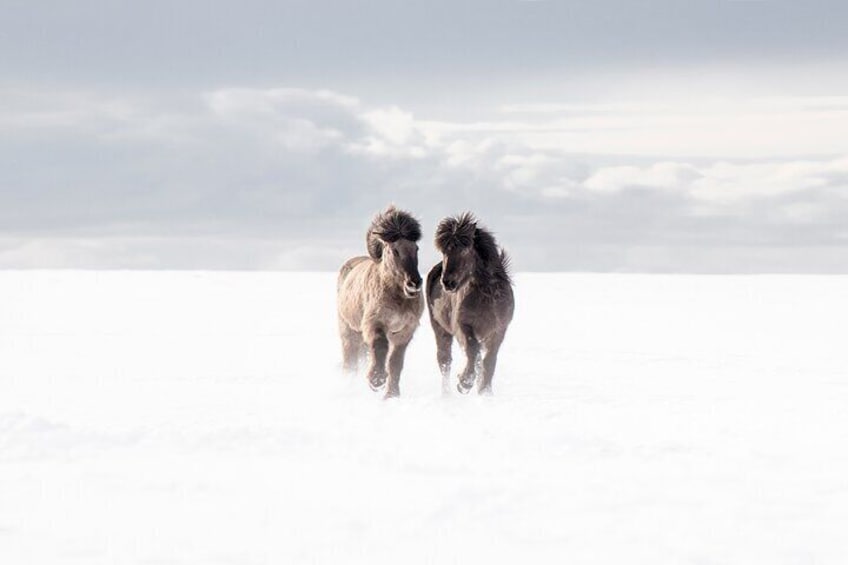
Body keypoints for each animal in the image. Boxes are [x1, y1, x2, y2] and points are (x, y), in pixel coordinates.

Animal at [334, 206, 420, 396]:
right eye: (395, 250)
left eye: (416, 248)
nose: (414, 283)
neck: (397, 298)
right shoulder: (375, 323)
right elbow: (380, 346)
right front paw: (377, 380)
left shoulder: (404, 332)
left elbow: (395, 362)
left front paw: (391, 395)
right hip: (349, 332)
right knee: (349, 362)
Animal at [428, 214, 512, 394]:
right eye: (444, 251)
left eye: (465, 250)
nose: (448, 282)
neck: (487, 296)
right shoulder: (463, 325)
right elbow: (472, 350)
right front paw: (464, 382)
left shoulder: (498, 330)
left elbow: (489, 361)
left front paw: (485, 391)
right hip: (440, 329)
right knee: (445, 361)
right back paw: (447, 394)